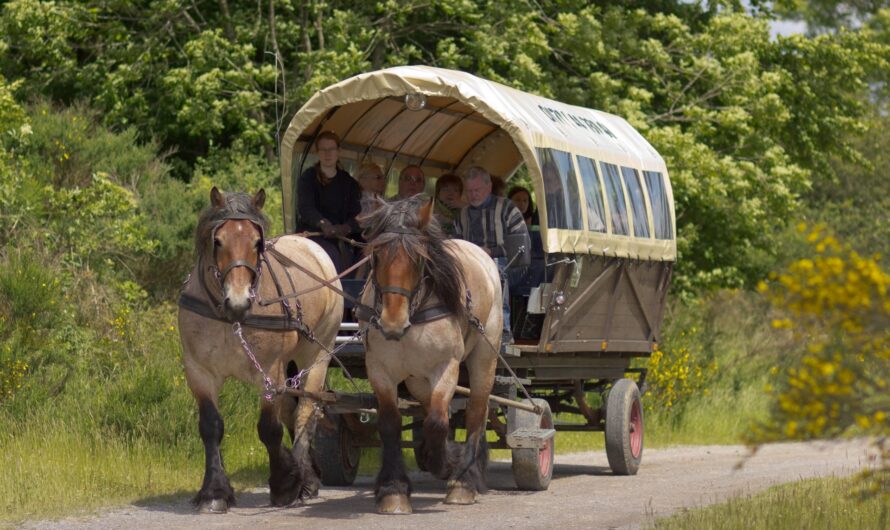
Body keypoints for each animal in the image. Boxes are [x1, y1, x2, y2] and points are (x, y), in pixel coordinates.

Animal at [175, 187, 342, 512]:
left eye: (257, 243)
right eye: (218, 241)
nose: (238, 302)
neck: (230, 319)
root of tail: (311, 245)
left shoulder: (270, 372)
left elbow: (269, 428)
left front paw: (285, 484)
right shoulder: (199, 371)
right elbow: (211, 426)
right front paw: (214, 492)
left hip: (317, 354)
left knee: (306, 411)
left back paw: (305, 479)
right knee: (293, 410)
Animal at [360, 195, 500, 512]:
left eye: (418, 259)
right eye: (376, 256)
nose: (392, 322)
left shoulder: (446, 366)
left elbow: (438, 422)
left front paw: (445, 464)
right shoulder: (380, 368)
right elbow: (391, 423)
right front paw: (393, 489)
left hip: (485, 358)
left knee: (475, 412)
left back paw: (464, 480)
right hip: (416, 379)